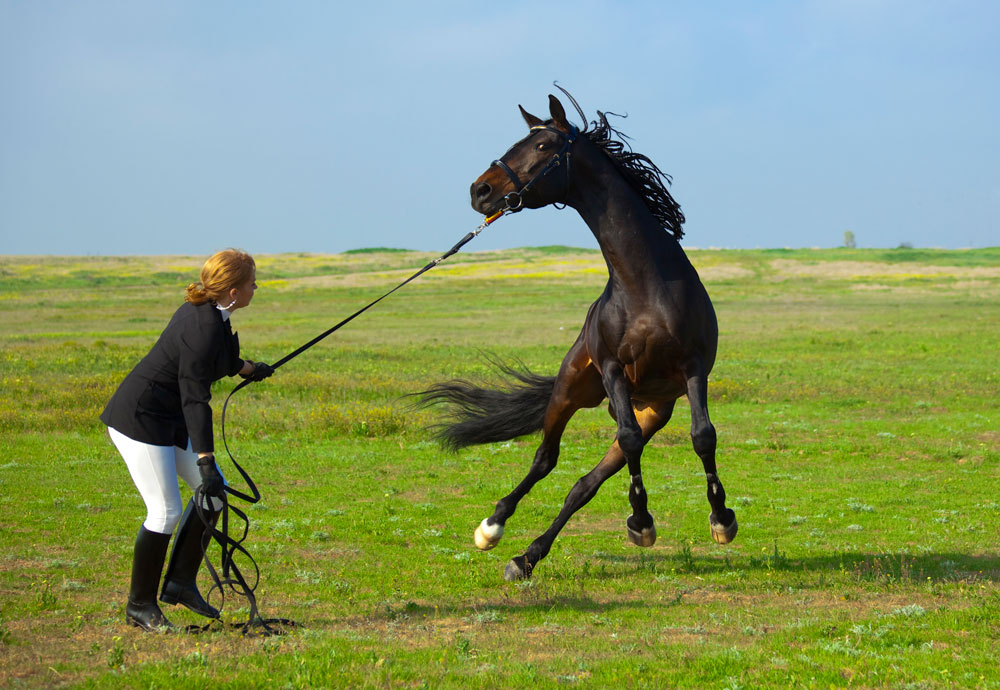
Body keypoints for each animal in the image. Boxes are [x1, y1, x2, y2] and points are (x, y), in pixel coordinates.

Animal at [419, 90, 738, 581]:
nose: (480, 190)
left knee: (584, 484)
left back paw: (527, 557)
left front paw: (720, 520)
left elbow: (702, 436)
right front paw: (641, 522)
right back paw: (493, 528)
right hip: (571, 389)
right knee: (545, 459)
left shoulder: (693, 368)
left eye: (543, 145)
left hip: (652, 409)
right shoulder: (612, 369)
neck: (644, 284)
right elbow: (628, 442)